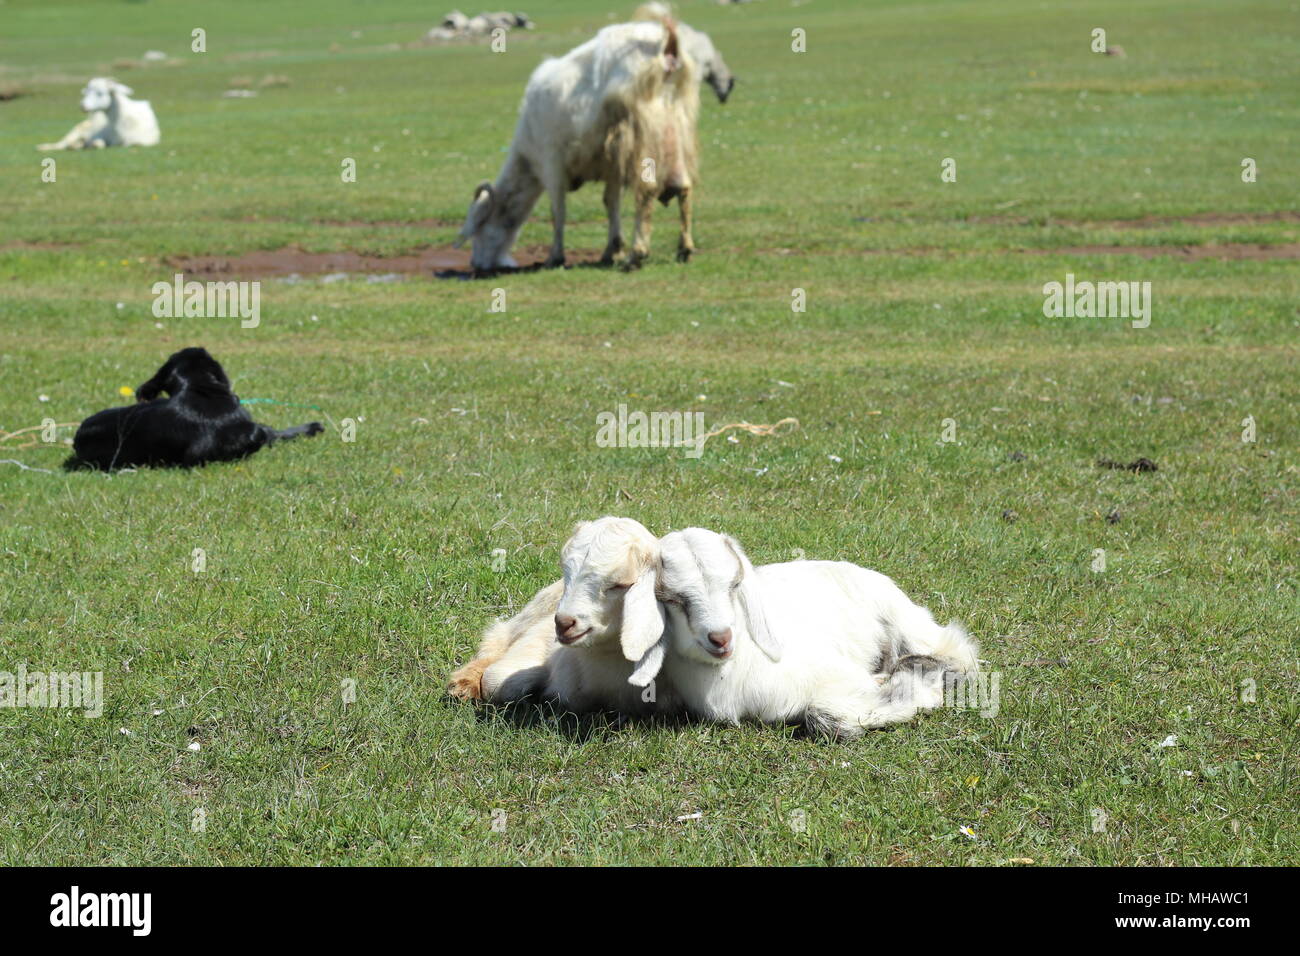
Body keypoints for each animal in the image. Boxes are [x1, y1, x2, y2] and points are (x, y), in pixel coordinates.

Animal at [447, 520, 676, 712]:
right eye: (567, 573)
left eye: (621, 584)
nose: (564, 623)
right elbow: (498, 680)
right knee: (499, 638)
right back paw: (463, 684)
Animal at [457, 19, 702, 273]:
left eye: (479, 229)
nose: (475, 265)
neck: (527, 156)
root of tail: (668, 45)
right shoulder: (612, 166)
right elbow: (611, 202)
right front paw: (612, 250)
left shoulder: (552, 163)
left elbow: (558, 210)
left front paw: (555, 257)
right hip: (677, 127)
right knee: (684, 187)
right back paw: (684, 249)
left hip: (644, 133)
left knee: (647, 191)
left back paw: (637, 254)